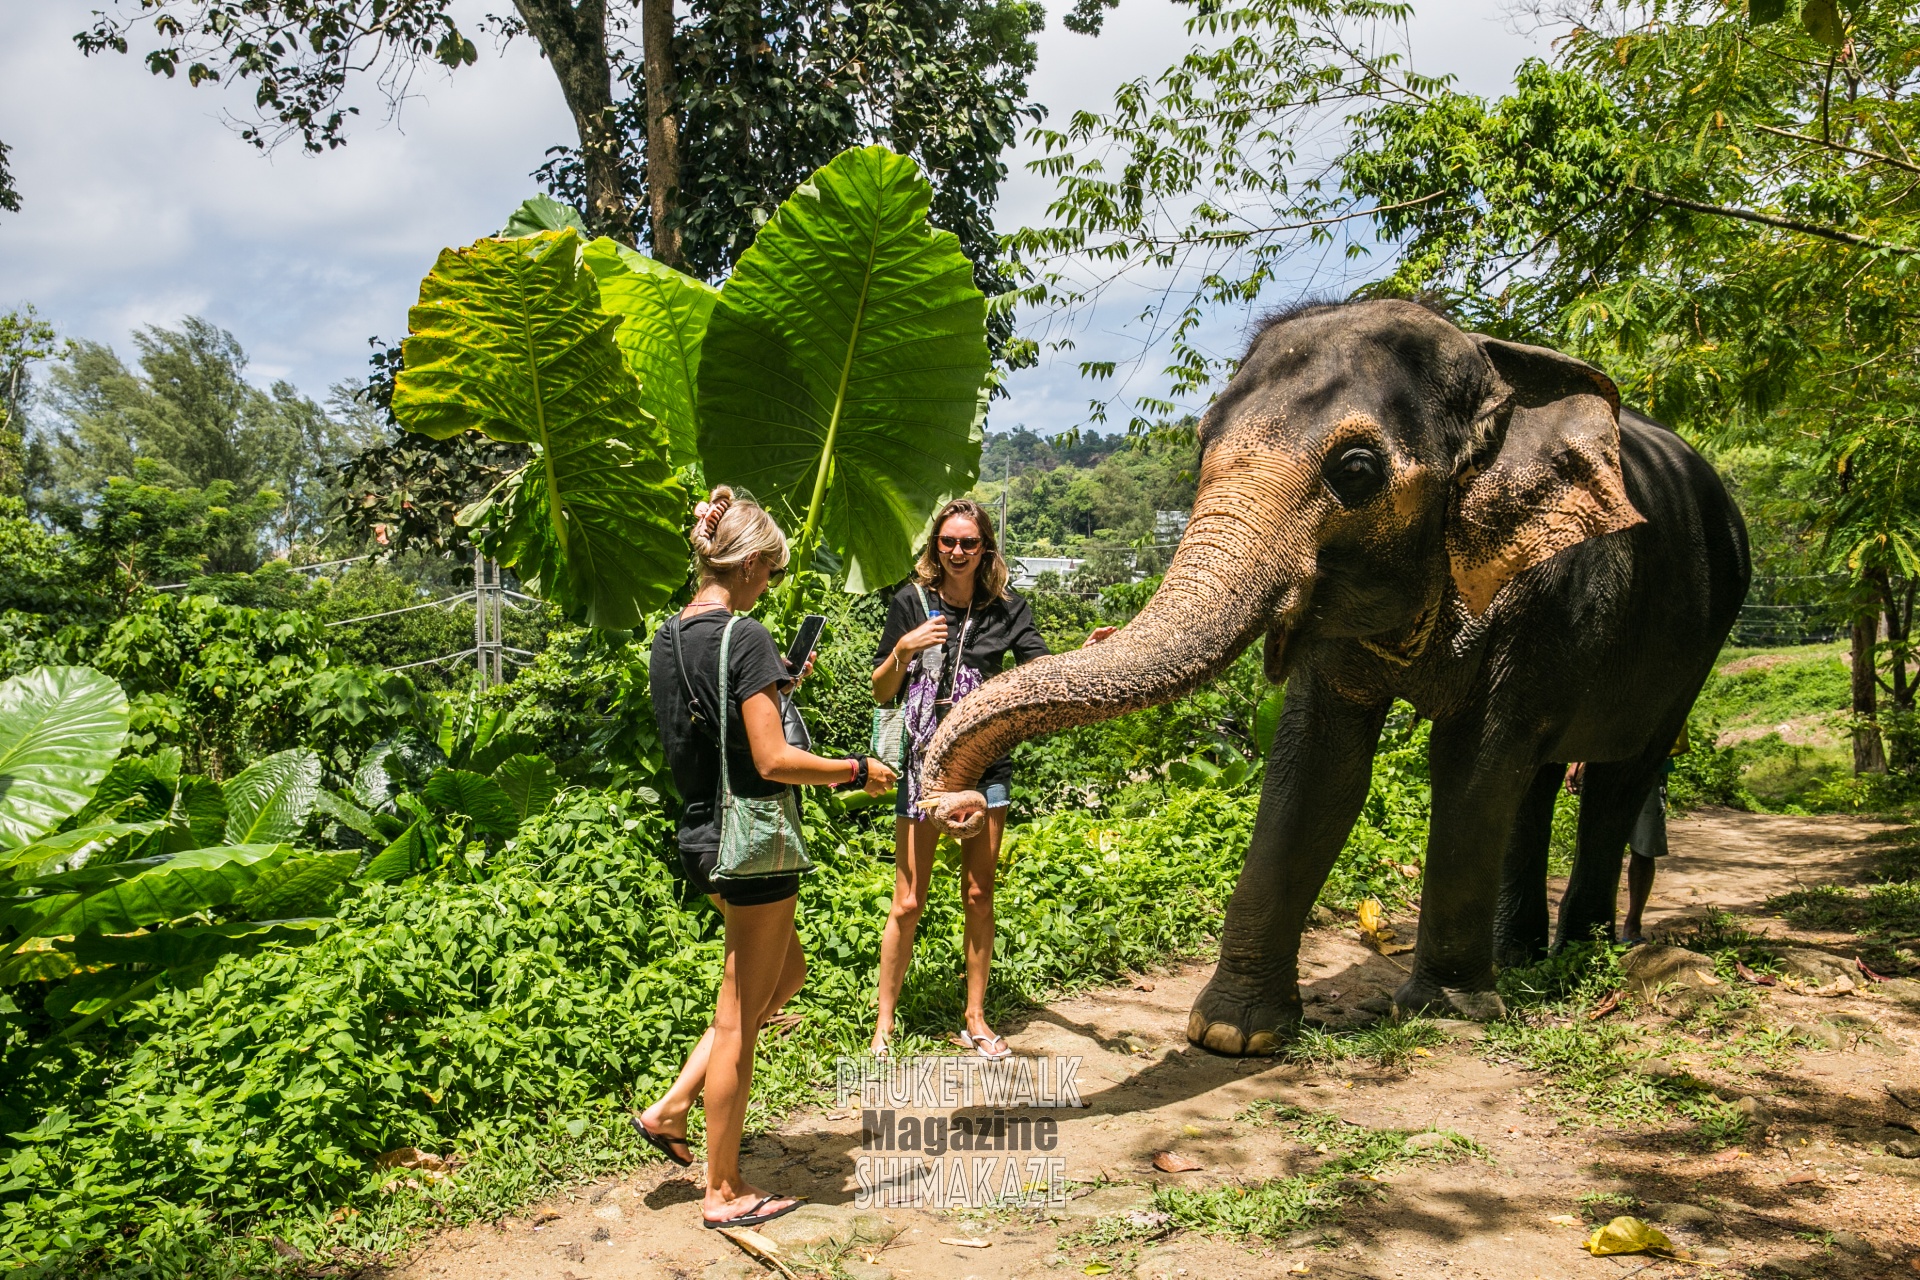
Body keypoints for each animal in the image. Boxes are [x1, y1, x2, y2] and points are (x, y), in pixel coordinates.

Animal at [921, 298, 1750, 1055]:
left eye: (1357, 471)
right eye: (1202, 443)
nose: (950, 806)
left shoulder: (1547, 588)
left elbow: (1472, 761)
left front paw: (1444, 1015)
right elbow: (1318, 765)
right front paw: (1233, 1032)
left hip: (1700, 641)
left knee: (1617, 776)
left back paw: (1573, 960)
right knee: (1540, 781)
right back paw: (1519, 959)